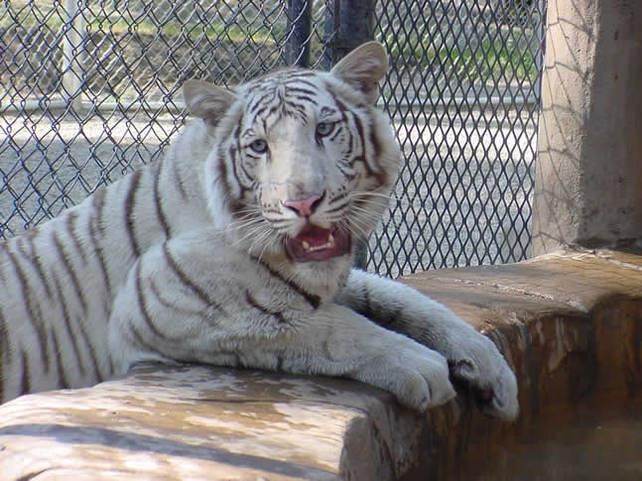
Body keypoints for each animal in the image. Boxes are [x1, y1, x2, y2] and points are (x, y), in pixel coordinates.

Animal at [0, 42, 518, 419]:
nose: (303, 202)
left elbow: (407, 301)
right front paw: (424, 368)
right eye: (258, 146)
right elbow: (327, 325)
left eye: (324, 130)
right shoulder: (160, 298)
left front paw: (492, 368)